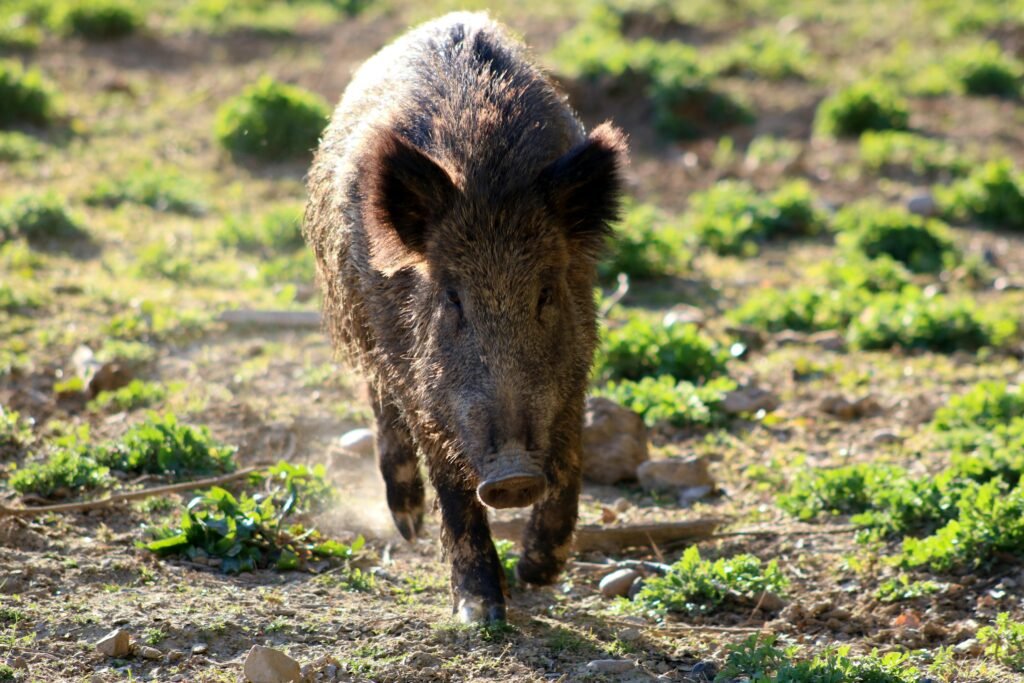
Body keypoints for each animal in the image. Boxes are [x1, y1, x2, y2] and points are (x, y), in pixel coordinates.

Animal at [303, 11, 627, 624]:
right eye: (453, 299)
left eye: (546, 293)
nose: (514, 476)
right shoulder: (421, 379)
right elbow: (450, 480)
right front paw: (480, 611)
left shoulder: (575, 366)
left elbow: (572, 453)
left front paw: (538, 574)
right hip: (359, 323)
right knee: (381, 407)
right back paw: (407, 526)